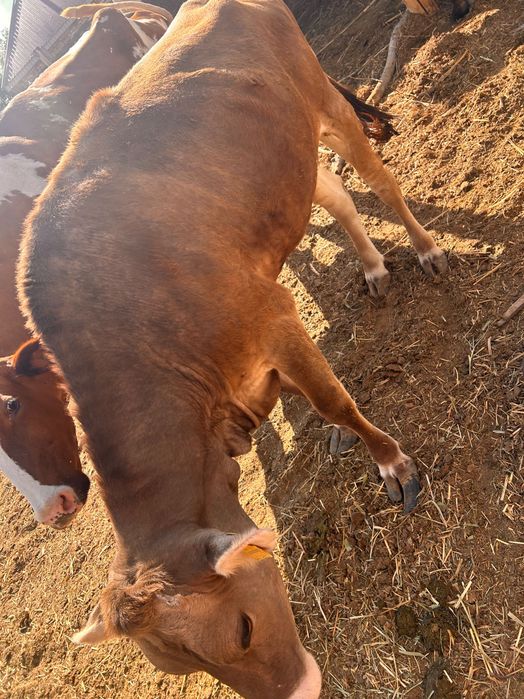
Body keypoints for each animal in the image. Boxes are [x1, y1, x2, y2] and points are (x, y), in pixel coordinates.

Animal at [20, 0, 445, 694]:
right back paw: (373, 265)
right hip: (288, 156)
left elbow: (332, 401)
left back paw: (426, 249)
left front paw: (391, 464)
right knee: (337, 197)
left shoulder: (273, 317)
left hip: (325, 103)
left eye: (242, 630)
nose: (303, 690)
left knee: (378, 183)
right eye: (190, 667)